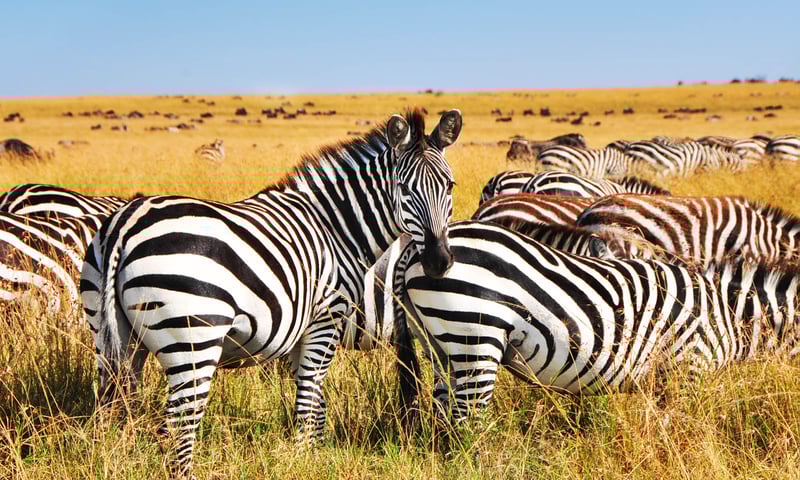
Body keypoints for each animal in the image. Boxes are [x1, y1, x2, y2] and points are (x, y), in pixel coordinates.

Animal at [79, 109, 462, 477]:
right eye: (405, 189)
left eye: (449, 186)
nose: (438, 262)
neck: (335, 228)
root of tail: (125, 225)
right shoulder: (325, 319)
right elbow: (308, 396)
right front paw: (304, 459)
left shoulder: (300, 332)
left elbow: (315, 404)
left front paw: (311, 454)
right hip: (193, 338)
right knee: (178, 426)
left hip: (114, 337)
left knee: (112, 413)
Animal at [384, 221, 799, 422]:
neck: (729, 313)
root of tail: (416, 251)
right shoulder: (687, 367)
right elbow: (679, 430)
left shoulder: (663, 378)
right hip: (474, 335)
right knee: (466, 422)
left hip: (439, 344)